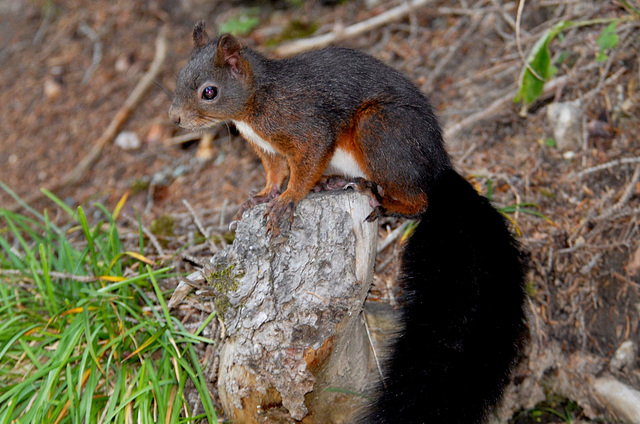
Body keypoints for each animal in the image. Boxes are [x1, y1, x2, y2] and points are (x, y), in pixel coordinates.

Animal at [170, 22, 528, 424]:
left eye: (209, 92)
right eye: (180, 78)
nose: (175, 119)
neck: (256, 102)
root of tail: (439, 168)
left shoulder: (305, 126)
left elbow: (303, 166)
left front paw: (287, 201)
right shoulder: (268, 149)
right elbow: (275, 173)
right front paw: (261, 196)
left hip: (381, 130)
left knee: (418, 200)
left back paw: (382, 200)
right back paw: (334, 184)